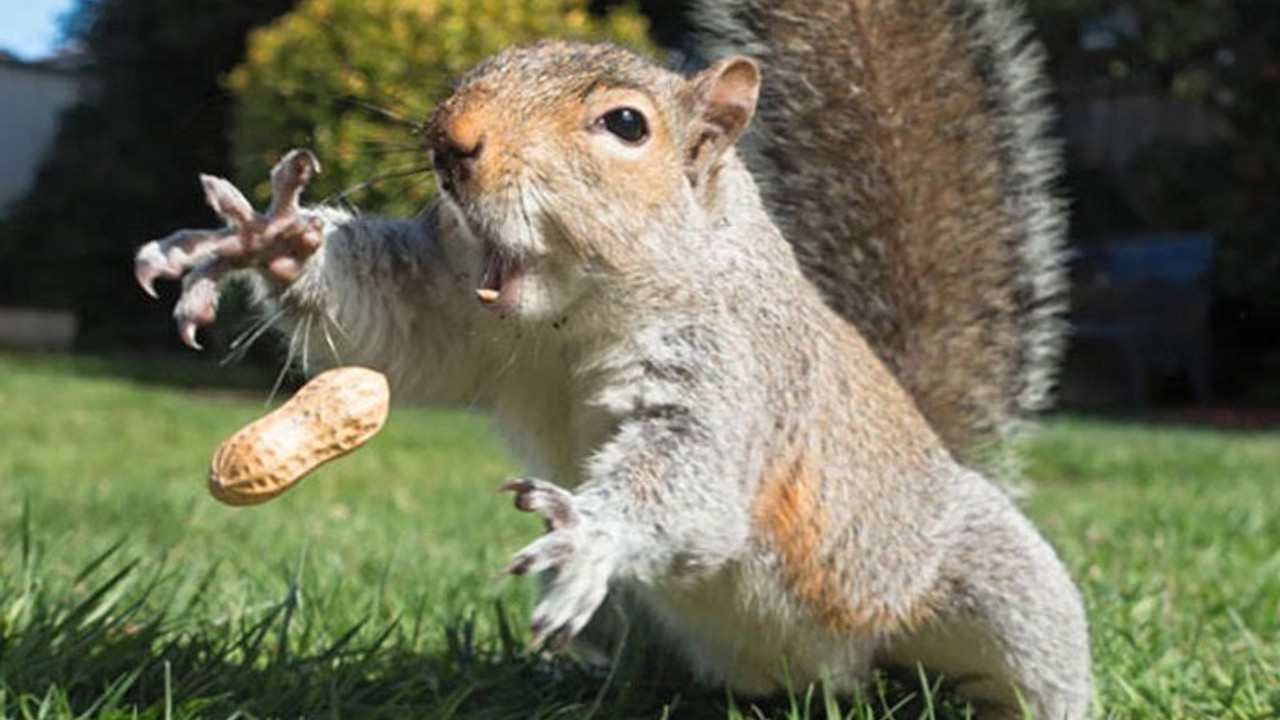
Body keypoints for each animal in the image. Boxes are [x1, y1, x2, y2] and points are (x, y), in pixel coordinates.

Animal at [129, 2, 1090, 712]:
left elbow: (694, 479)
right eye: (470, 75)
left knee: (1034, 659)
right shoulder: (453, 311)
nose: (450, 141)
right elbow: (388, 325)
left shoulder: (737, 374)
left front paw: (594, 530)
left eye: (626, 124)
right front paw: (268, 240)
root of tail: (818, 684)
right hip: (632, 621)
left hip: (988, 591)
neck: (574, 318)